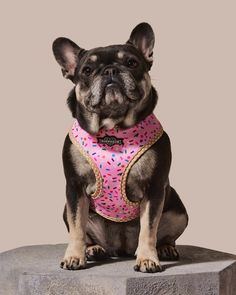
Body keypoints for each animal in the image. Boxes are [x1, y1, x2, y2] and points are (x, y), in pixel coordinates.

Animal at [52, 22, 188, 274]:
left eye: (132, 63)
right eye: (87, 70)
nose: (110, 71)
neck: (113, 129)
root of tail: (120, 248)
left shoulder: (154, 188)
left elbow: (149, 229)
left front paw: (147, 259)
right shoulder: (74, 189)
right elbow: (76, 228)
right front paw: (74, 256)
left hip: (178, 210)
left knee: (164, 234)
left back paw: (165, 248)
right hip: (67, 209)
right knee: (86, 232)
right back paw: (93, 249)